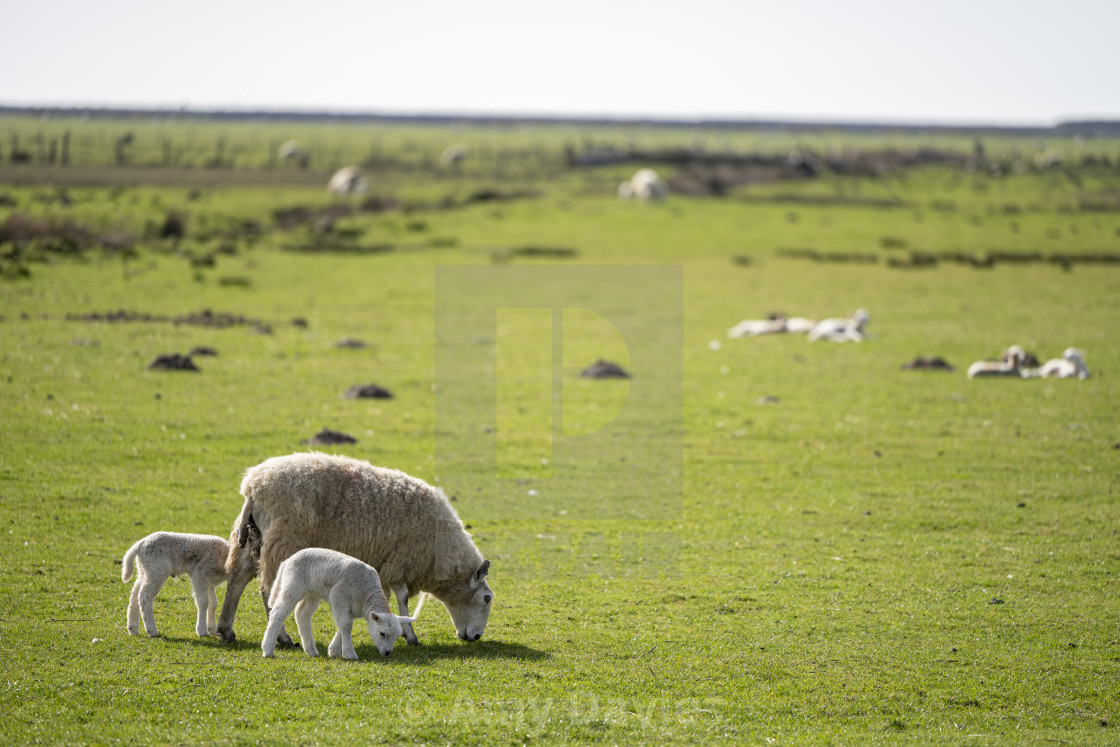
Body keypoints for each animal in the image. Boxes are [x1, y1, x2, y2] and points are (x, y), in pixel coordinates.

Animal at [259, 548, 414, 658]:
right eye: (382, 633)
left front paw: (333, 650)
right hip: (293, 583)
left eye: (397, 636)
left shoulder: (353, 607)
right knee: (278, 612)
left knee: (302, 614)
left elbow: (344, 625)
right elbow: (346, 626)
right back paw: (268, 650)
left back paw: (311, 651)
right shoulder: (339, 596)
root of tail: (287, 561)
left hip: (312, 592)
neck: (366, 593)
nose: (388, 653)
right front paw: (349, 654)